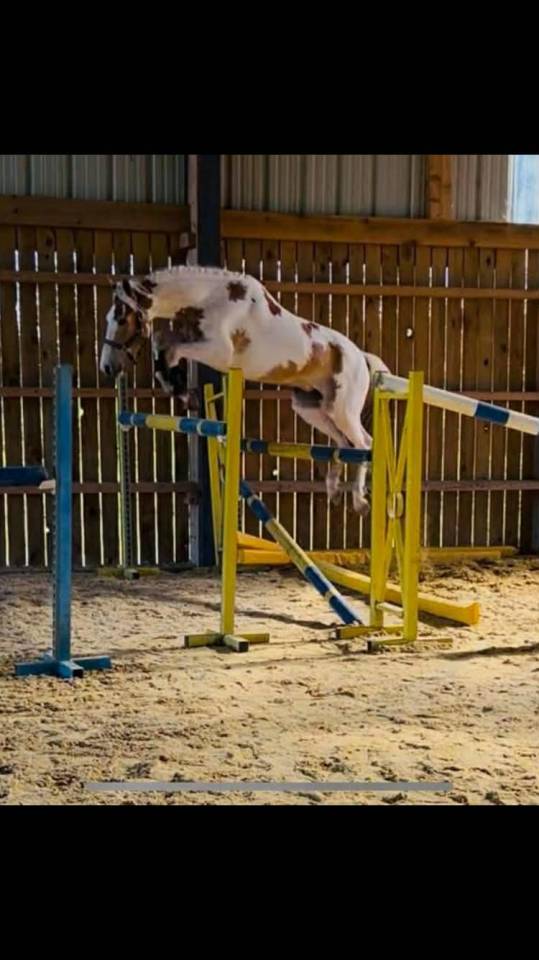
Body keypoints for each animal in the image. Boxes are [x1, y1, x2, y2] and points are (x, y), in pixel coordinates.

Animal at [99, 265, 389, 514]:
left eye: (122, 319)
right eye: (109, 318)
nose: (107, 367)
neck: (208, 298)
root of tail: (361, 357)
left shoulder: (218, 352)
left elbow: (171, 350)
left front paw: (182, 390)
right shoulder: (195, 340)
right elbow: (163, 340)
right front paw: (180, 390)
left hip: (342, 409)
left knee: (364, 443)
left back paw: (360, 501)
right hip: (312, 409)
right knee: (344, 444)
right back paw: (334, 491)